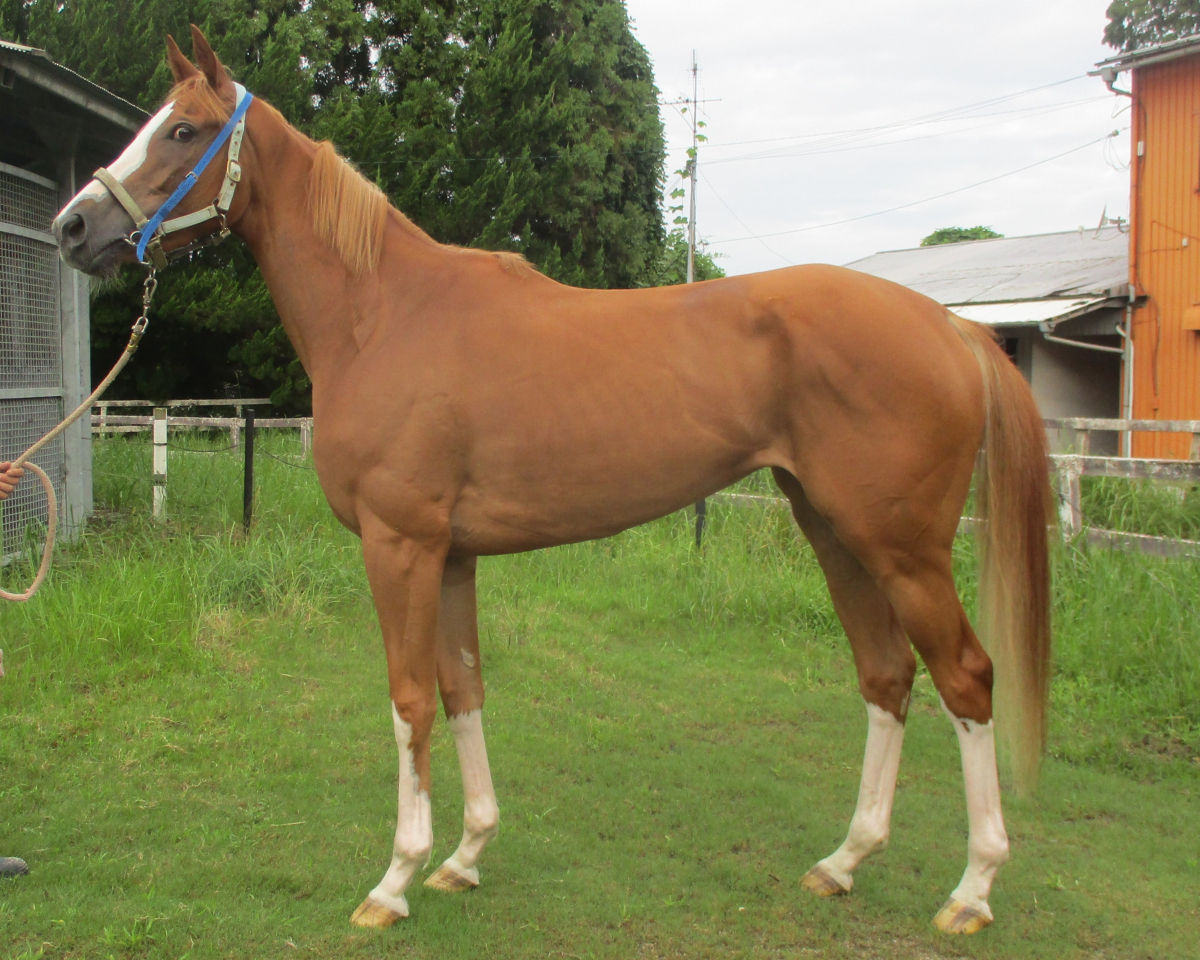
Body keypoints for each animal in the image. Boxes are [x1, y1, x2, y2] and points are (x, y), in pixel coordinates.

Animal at [52, 26, 1052, 935]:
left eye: (183, 131)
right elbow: (462, 689)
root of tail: (951, 326)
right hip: (836, 533)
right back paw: (843, 862)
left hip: (902, 548)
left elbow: (408, 700)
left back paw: (972, 891)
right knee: (887, 675)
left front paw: (394, 879)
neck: (382, 316)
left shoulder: (400, 546)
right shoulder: (451, 556)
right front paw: (464, 856)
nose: (74, 227)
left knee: (965, 678)